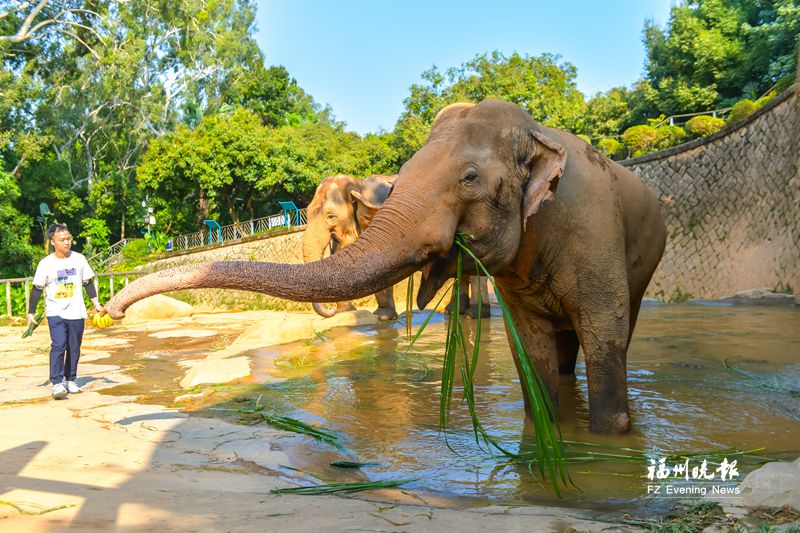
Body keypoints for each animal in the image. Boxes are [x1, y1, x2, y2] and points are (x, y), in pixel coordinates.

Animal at [302, 175, 398, 318]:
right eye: (306, 213)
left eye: (331, 216)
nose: (331, 308)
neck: (358, 185)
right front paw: (345, 312)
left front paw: (384, 316)